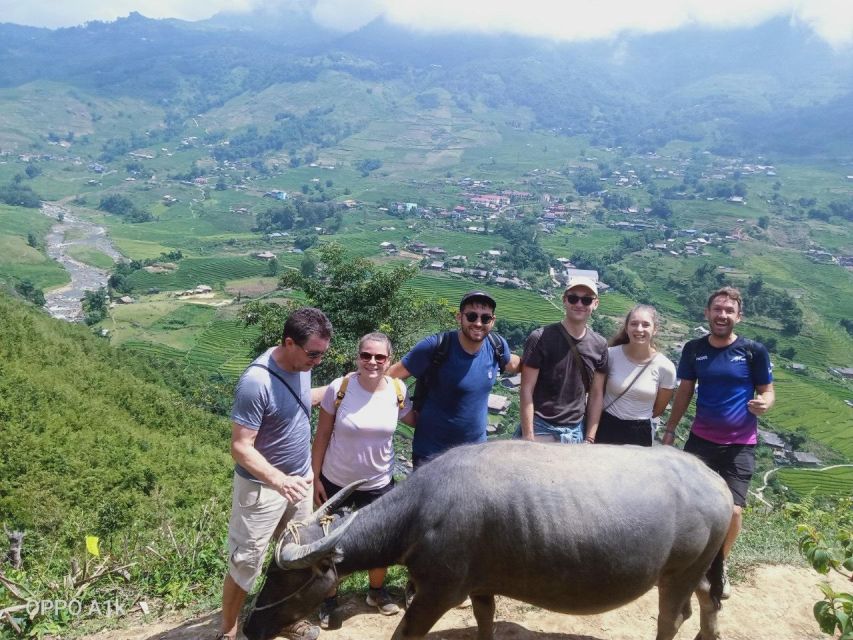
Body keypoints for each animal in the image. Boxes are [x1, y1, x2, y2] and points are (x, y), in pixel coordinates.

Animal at [241, 440, 732, 640]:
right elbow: (484, 621)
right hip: (701, 568)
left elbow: (404, 633)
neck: (422, 513)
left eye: (285, 579)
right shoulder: (480, 587)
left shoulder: (438, 593)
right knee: (709, 599)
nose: (250, 628)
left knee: (673, 616)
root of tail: (717, 483)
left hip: (678, 573)